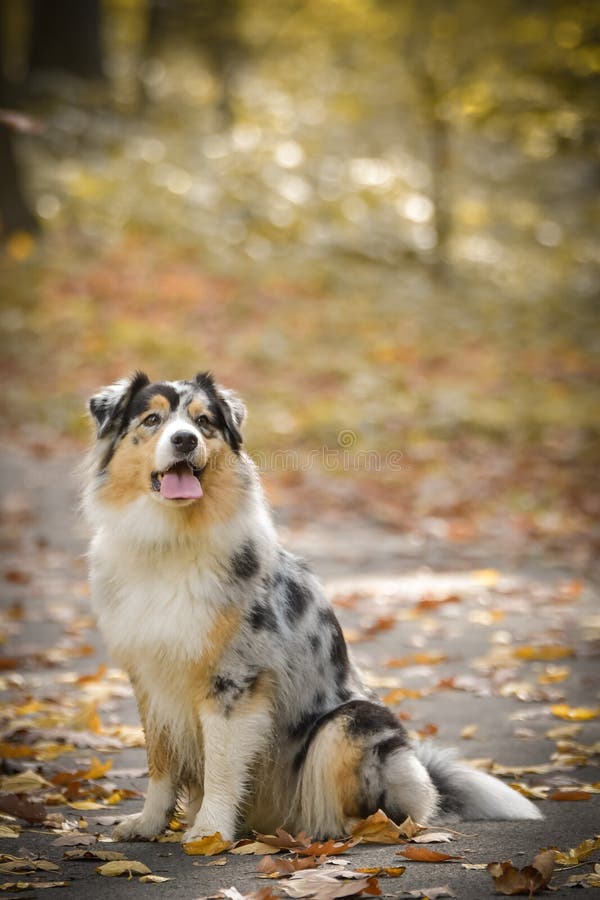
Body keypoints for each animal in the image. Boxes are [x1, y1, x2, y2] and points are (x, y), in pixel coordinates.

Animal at [84, 372, 544, 844]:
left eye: (204, 422)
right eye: (152, 419)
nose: (184, 440)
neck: (171, 540)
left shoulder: (235, 680)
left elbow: (221, 768)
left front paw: (210, 831)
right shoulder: (149, 677)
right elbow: (160, 763)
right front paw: (148, 823)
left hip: (352, 724)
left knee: (383, 811)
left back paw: (340, 830)